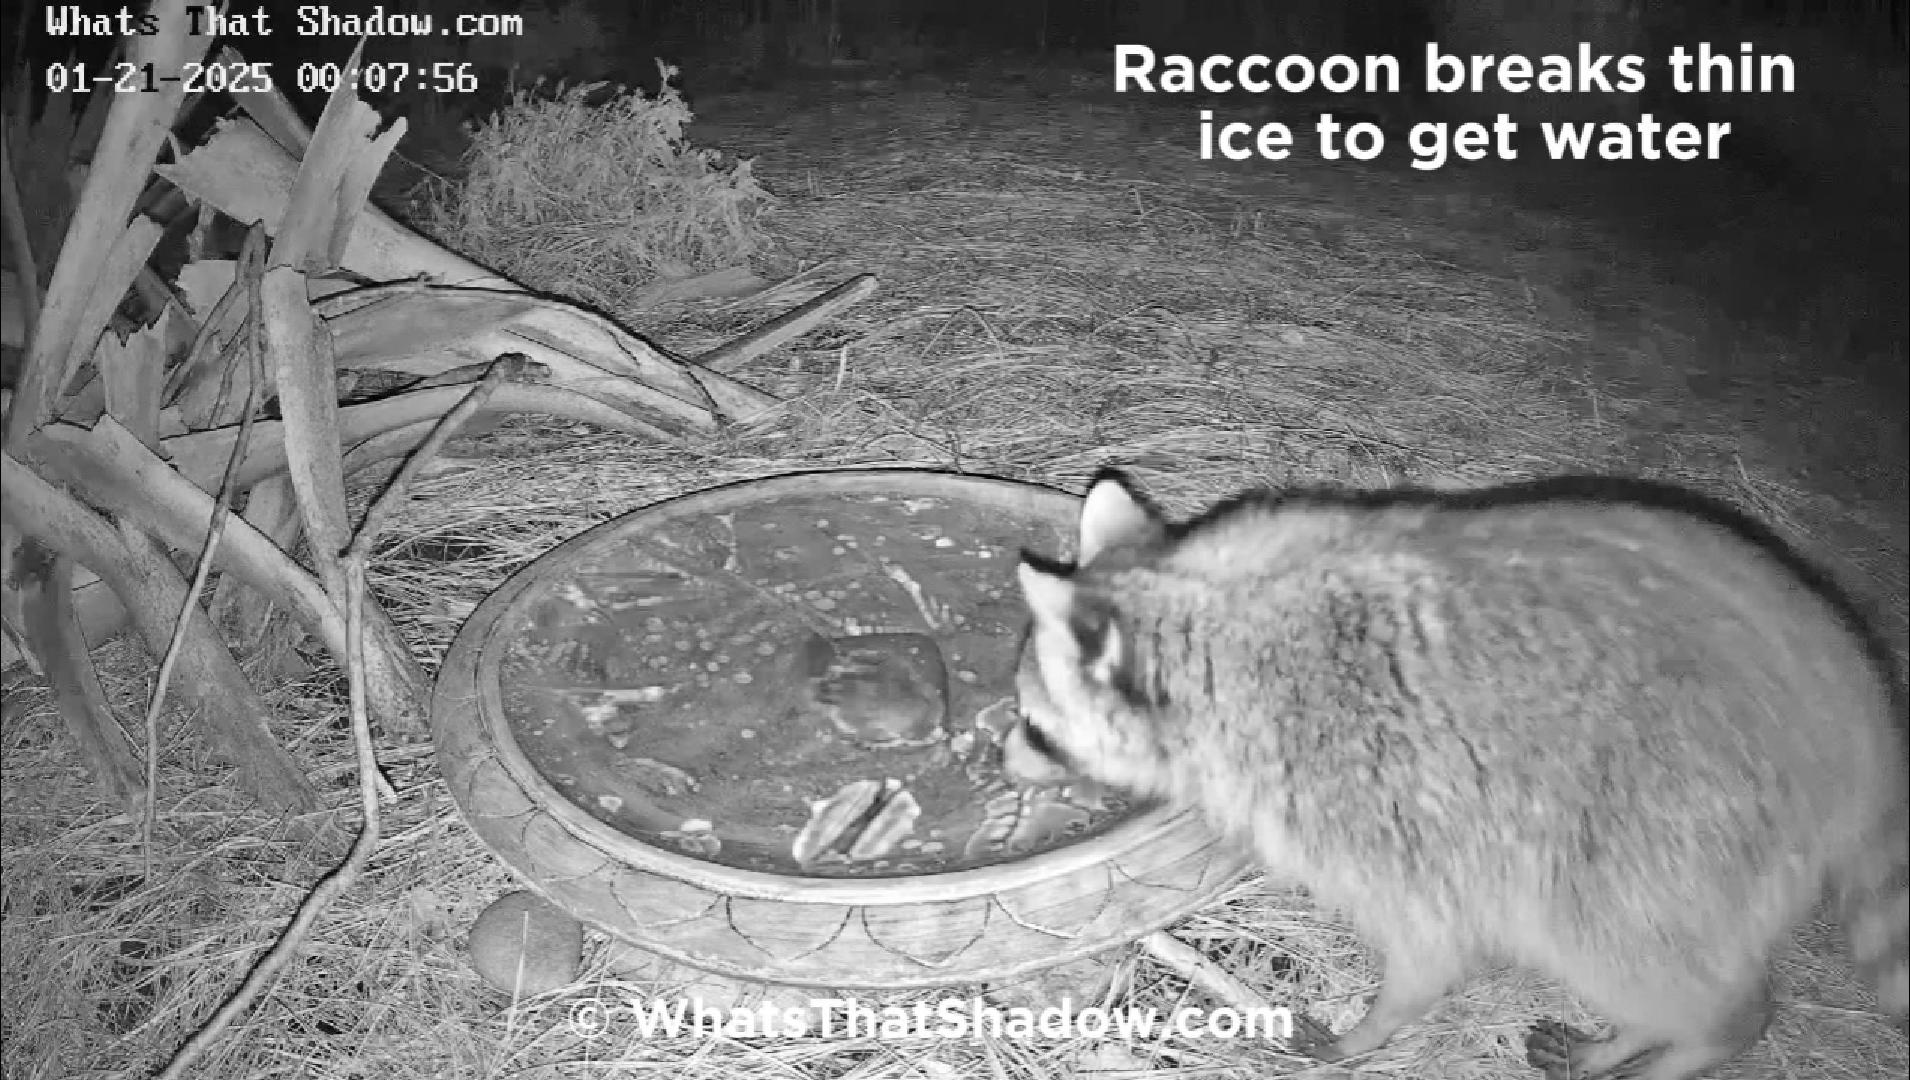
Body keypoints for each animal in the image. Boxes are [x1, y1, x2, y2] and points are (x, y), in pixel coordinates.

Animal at [1009, 471, 1908, 1080]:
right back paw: (1628, 1038)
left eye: (1036, 727)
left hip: (1670, 813)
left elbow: (1430, 942)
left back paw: (1699, 1036)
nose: (1000, 757)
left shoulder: (1365, 782)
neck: (1219, 626)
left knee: (1620, 940)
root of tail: (1863, 722)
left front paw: (1374, 1026)